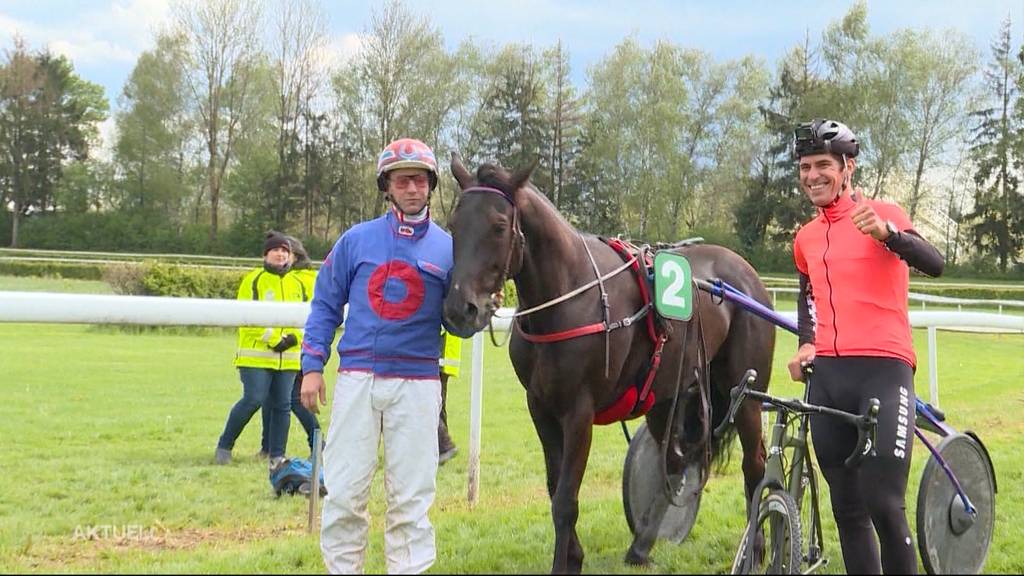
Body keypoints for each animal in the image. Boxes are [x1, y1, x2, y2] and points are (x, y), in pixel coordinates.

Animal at [444, 154, 770, 569]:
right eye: (454, 224)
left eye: (499, 226)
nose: (460, 309)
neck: (568, 294)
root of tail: (746, 273)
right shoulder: (540, 407)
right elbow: (554, 487)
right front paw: (575, 555)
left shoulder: (578, 412)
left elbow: (565, 500)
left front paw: (564, 563)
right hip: (668, 392)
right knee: (676, 461)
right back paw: (642, 545)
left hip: (745, 392)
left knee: (754, 465)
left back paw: (757, 548)